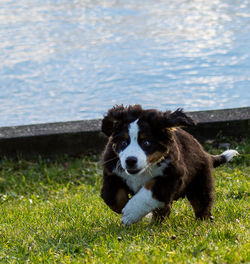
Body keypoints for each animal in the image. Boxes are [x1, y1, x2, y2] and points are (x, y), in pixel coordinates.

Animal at [100, 104, 238, 225]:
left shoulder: (172, 176)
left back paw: (203, 222)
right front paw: (129, 212)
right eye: (123, 142)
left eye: (146, 143)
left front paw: (131, 213)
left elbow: (149, 193)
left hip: (200, 182)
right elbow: (113, 198)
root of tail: (205, 153)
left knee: (202, 203)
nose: (130, 160)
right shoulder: (112, 173)